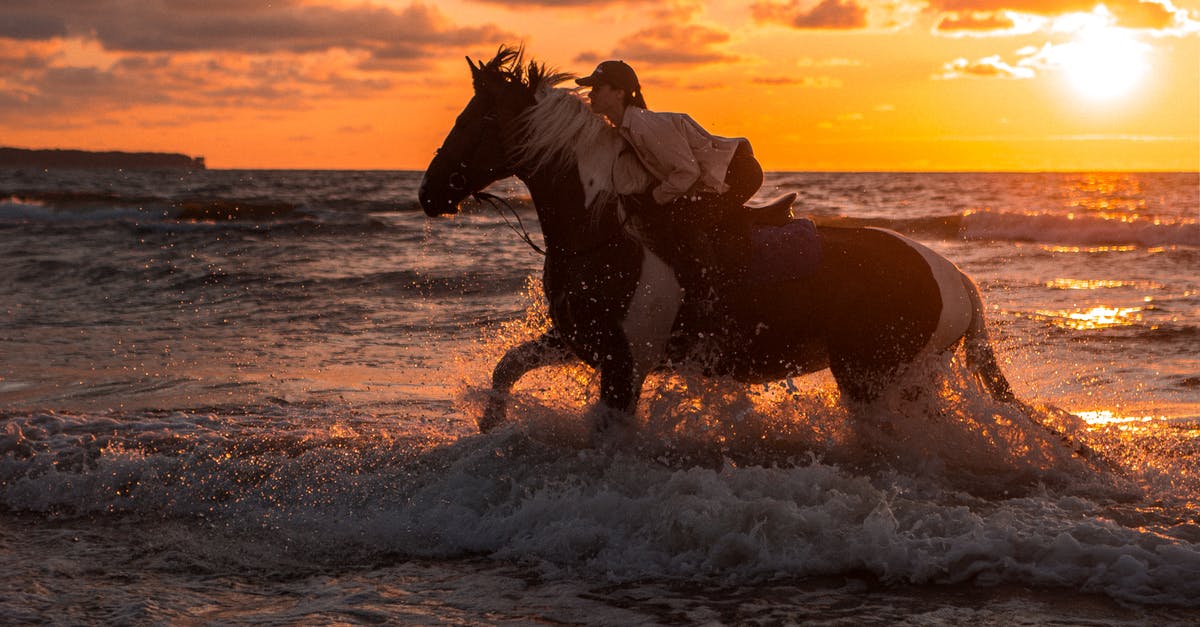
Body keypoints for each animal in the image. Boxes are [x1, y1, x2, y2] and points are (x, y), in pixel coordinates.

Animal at [415, 48, 1022, 437]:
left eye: (474, 120)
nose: (428, 193)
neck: (601, 233)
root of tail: (955, 277)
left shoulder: (625, 365)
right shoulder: (580, 341)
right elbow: (507, 368)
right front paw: (488, 432)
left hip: (871, 378)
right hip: (915, 378)